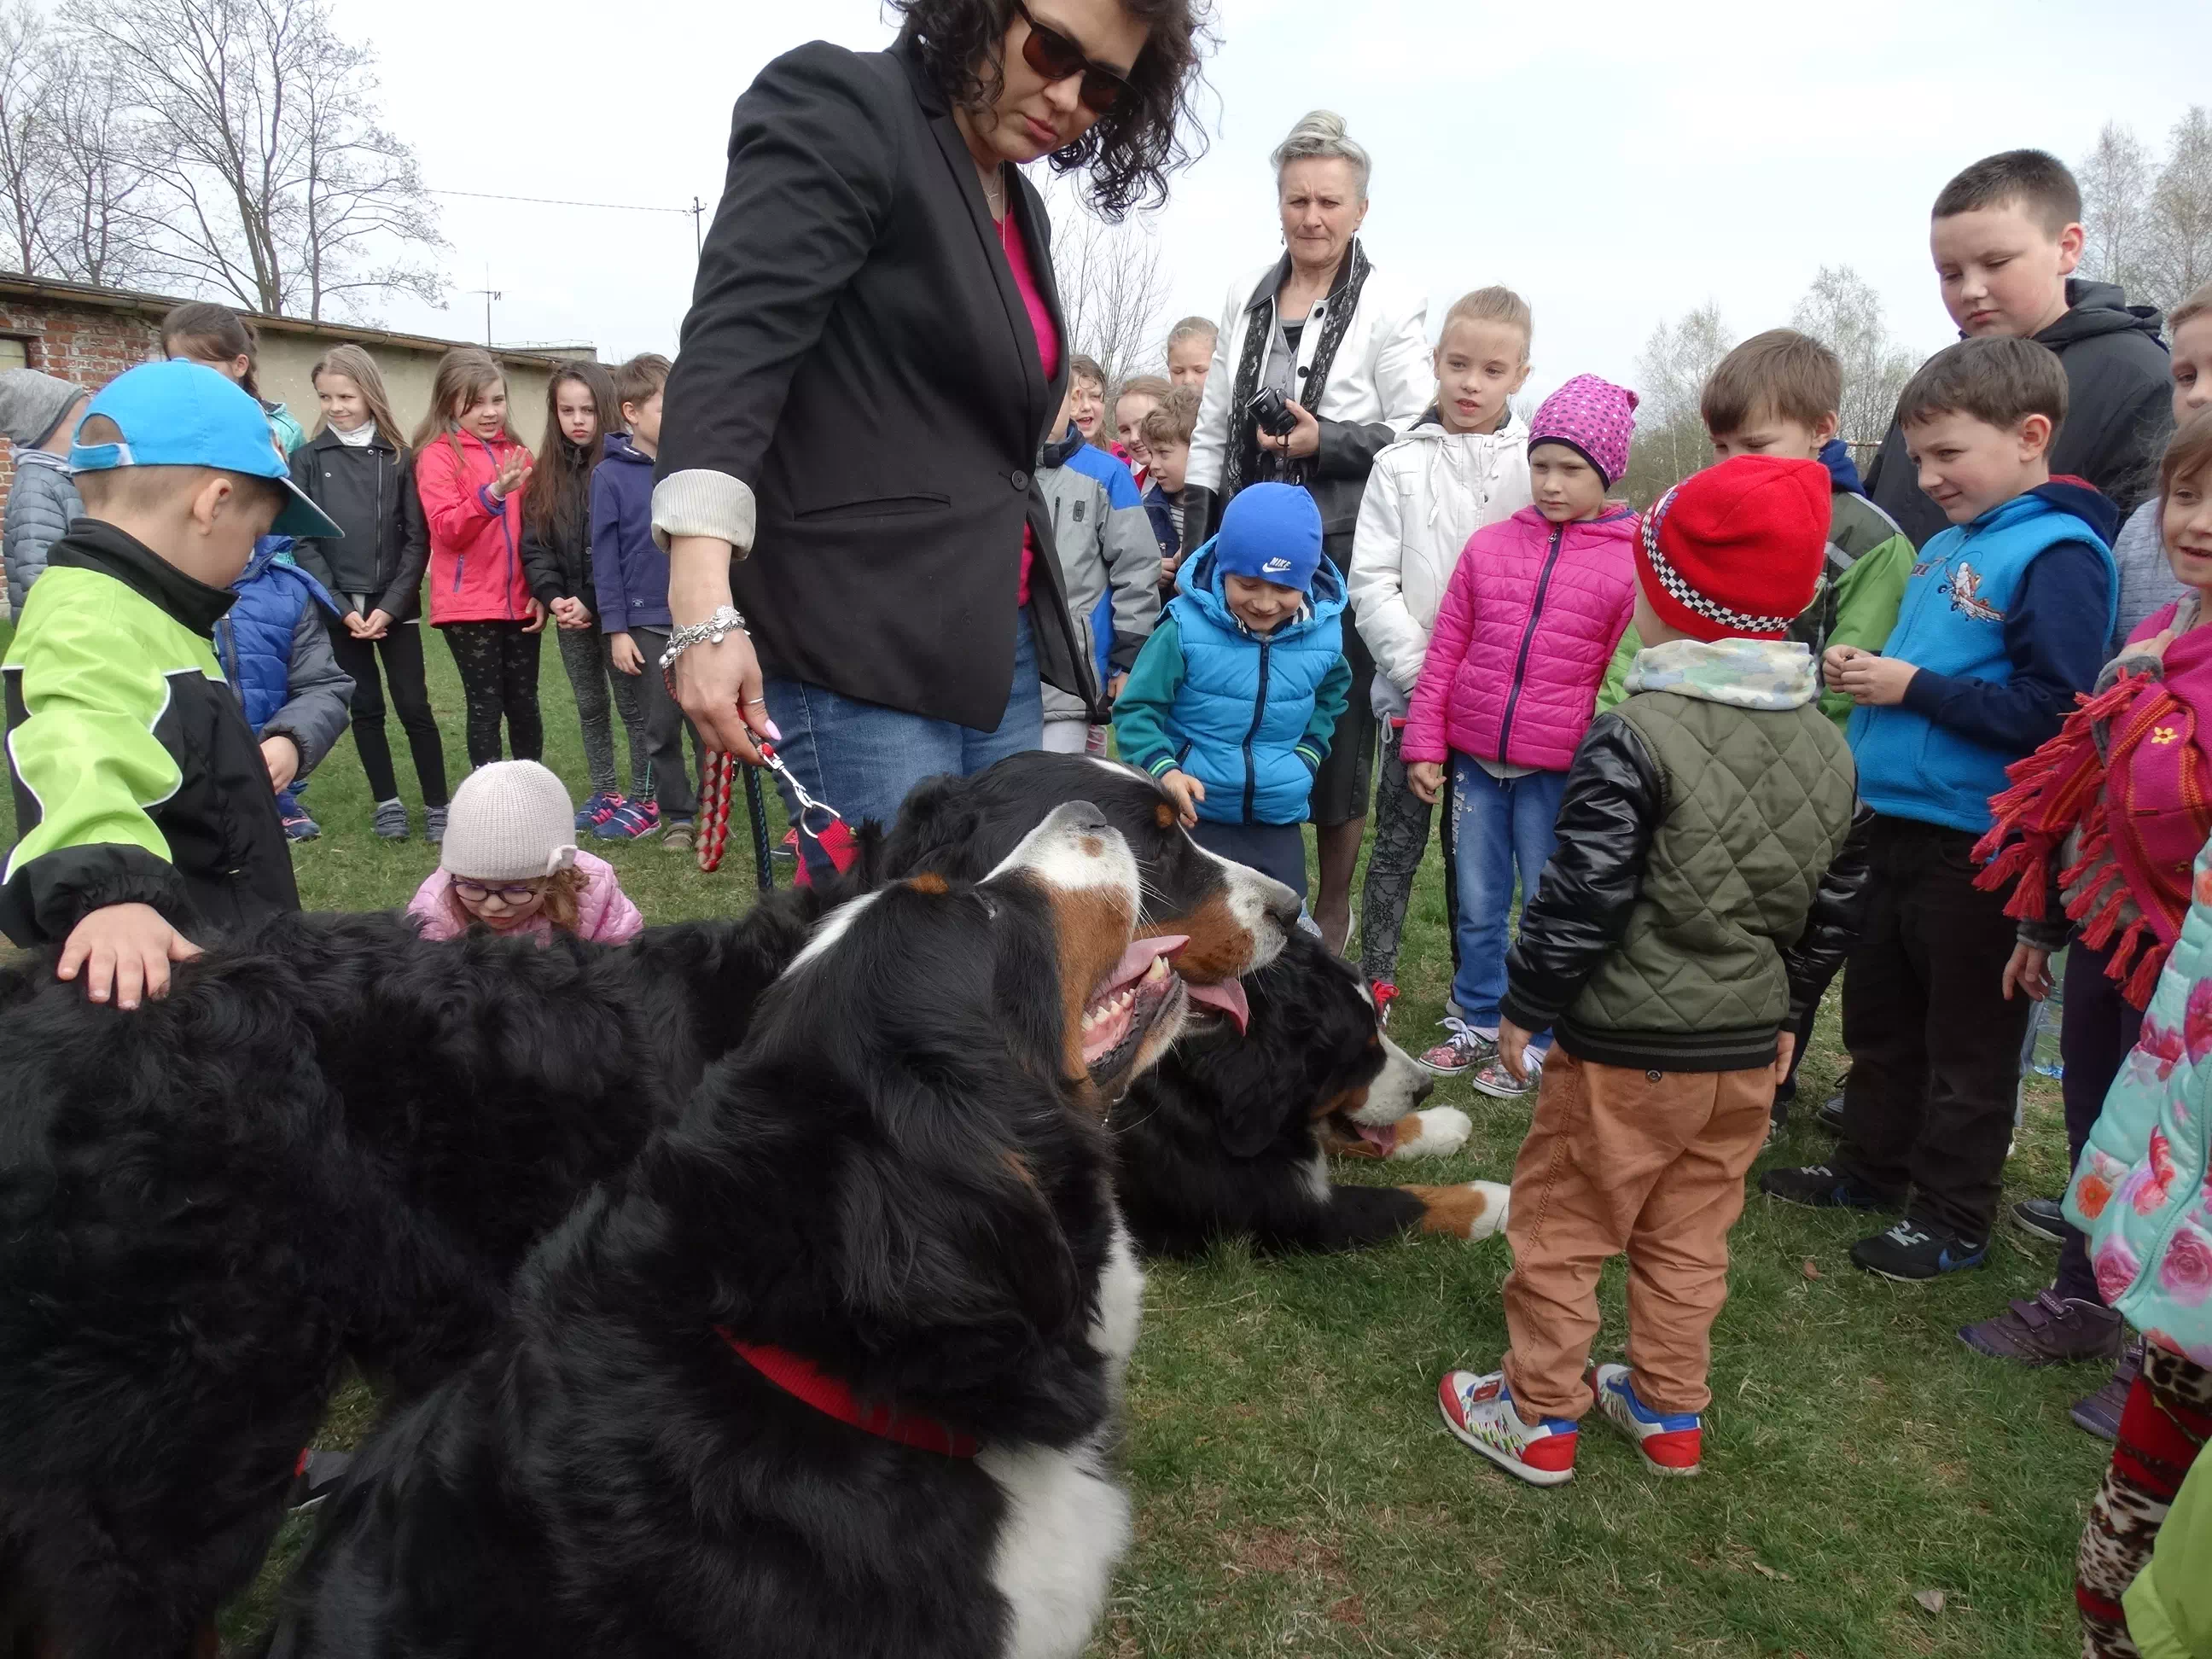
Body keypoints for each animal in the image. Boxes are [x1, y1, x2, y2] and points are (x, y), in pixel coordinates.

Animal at [1113, 929, 1510, 1256]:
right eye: (1361, 1052)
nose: (1426, 1089)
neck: (1198, 1093)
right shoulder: (1295, 1212)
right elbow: (1408, 1201)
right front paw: (1498, 1201)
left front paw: (1438, 1125)